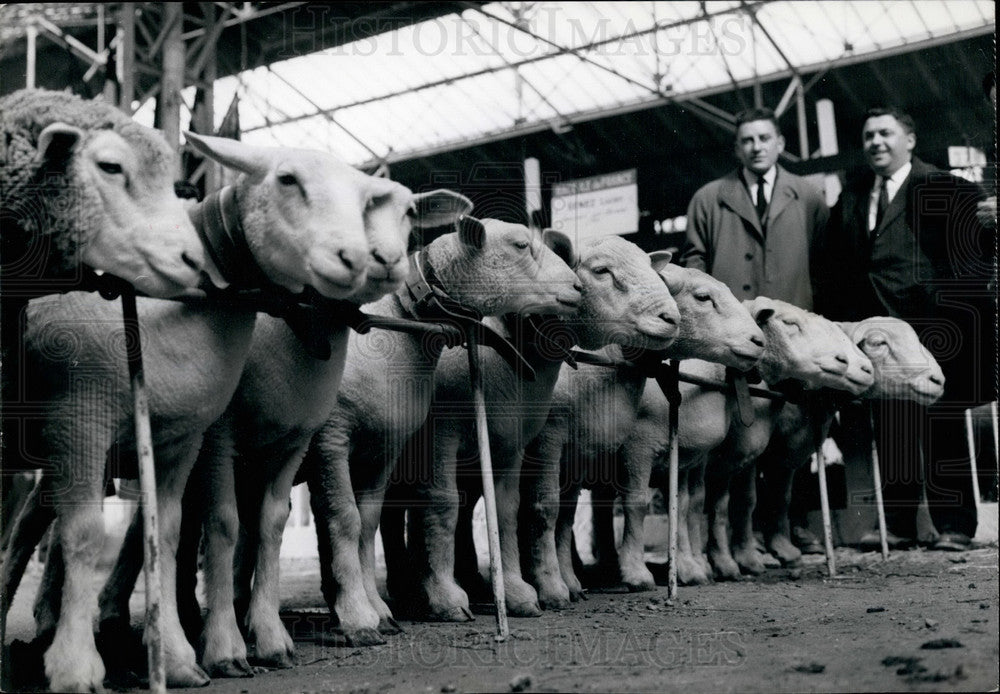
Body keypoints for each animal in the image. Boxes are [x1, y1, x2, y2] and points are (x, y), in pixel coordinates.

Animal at [296, 219, 584, 636]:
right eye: (519, 245)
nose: (578, 288)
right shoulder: (336, 438)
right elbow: (355, 514)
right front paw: (369, 615)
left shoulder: (387, 446)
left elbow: (371, 521)